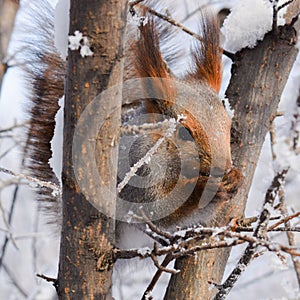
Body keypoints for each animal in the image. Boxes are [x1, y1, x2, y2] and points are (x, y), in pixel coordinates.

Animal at [23, 2, 244, 241]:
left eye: (229, 128)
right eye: (184, 132)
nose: (223, 169)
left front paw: (236, 178)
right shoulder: (136, 174)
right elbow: (159, 211)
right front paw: (205, 191)